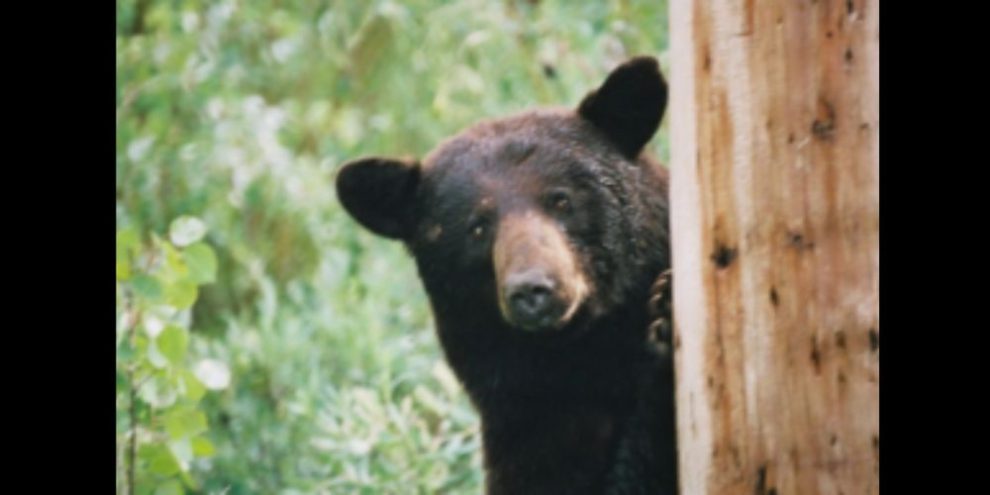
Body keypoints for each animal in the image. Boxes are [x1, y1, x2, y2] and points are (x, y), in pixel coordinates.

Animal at [338, 56, 680, 494]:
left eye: (561, 200)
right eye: (477, 227)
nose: (532, 290)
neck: (583, 356)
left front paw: (667, 309)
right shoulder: (526, 426)